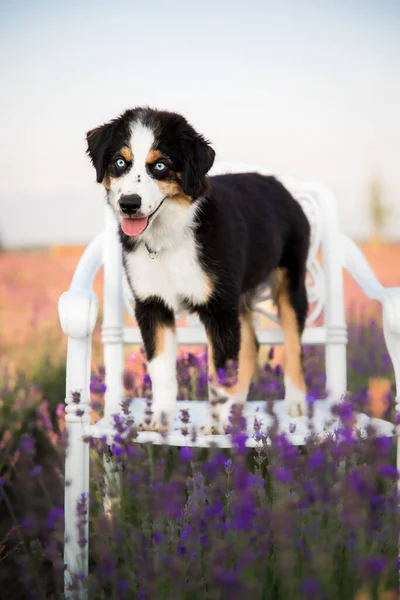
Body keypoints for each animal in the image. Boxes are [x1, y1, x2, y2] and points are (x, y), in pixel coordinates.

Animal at [86, 108, 310, 434]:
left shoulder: (219, 308)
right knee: (250, 345)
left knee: (292, 342)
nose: (129, 204)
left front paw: (216, 427)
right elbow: (162, 370)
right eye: (119, 162)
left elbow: (220, 373)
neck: (168, 239)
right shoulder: (152, 305)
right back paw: (238, 407)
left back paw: (295, 402)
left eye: (160, 166)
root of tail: (278, 185)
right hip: (238, 293)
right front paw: (158, 421)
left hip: (288, 281)